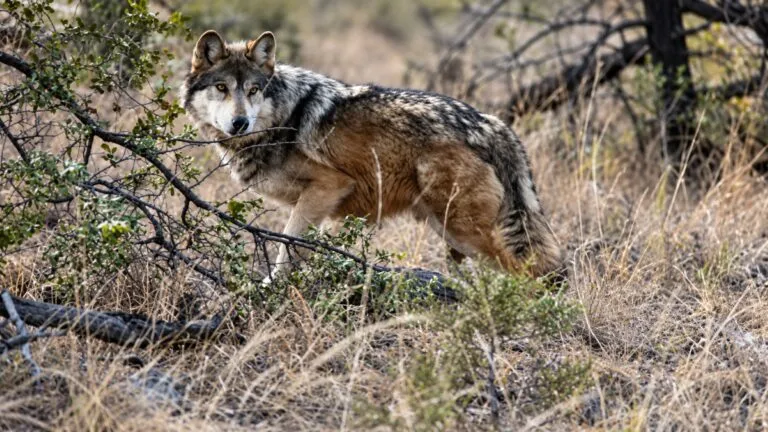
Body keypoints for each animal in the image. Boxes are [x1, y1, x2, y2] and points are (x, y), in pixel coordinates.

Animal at [181, 30, 562, 280]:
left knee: (529, 273)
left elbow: (286, 251)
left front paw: (266, 292)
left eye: (253, 90)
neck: (282, 120)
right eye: (222, 88)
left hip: (463, 231)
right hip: (447, 230)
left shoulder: (328, 187)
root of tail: (490, 124)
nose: (239, 123)